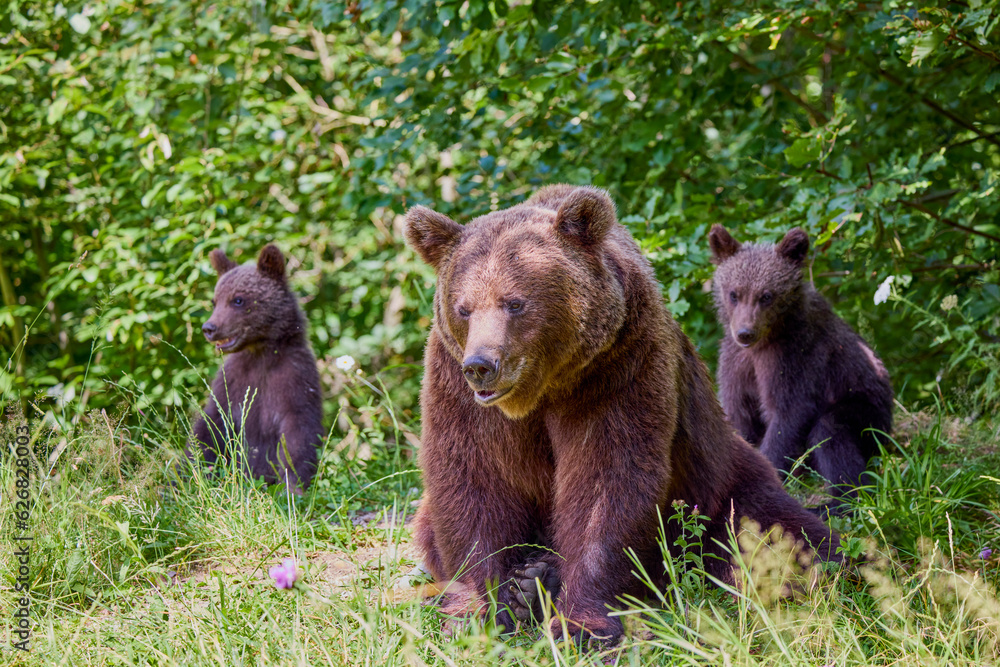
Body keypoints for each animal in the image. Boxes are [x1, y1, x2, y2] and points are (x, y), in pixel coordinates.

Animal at [404, 187, 836, 648]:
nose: (482, 365)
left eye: (514, 303)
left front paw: (582, 625)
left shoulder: (616, 368)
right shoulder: (457, 388)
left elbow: (607, 478)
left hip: (721, 481)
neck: (542, 388)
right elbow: (472, 480)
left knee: (775, 535)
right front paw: (478, 612)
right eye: (463, 308)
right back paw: (532, 582)